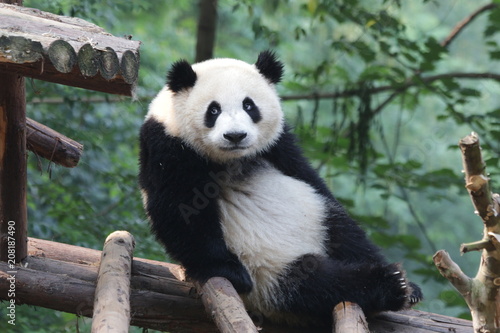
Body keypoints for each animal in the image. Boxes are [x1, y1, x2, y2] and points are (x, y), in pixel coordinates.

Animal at [140, 51, 422, 324]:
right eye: (213, 110)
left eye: (249, 105)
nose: (235, 136)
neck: (230, 159)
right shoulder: (168, 146)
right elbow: (180, 210)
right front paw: (227, 270)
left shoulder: (279, 146)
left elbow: (309, 177)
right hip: (269, 273)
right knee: (316, 284)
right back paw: (388, 285)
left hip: (320, 219)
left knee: (347, 234)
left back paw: (405, 285)